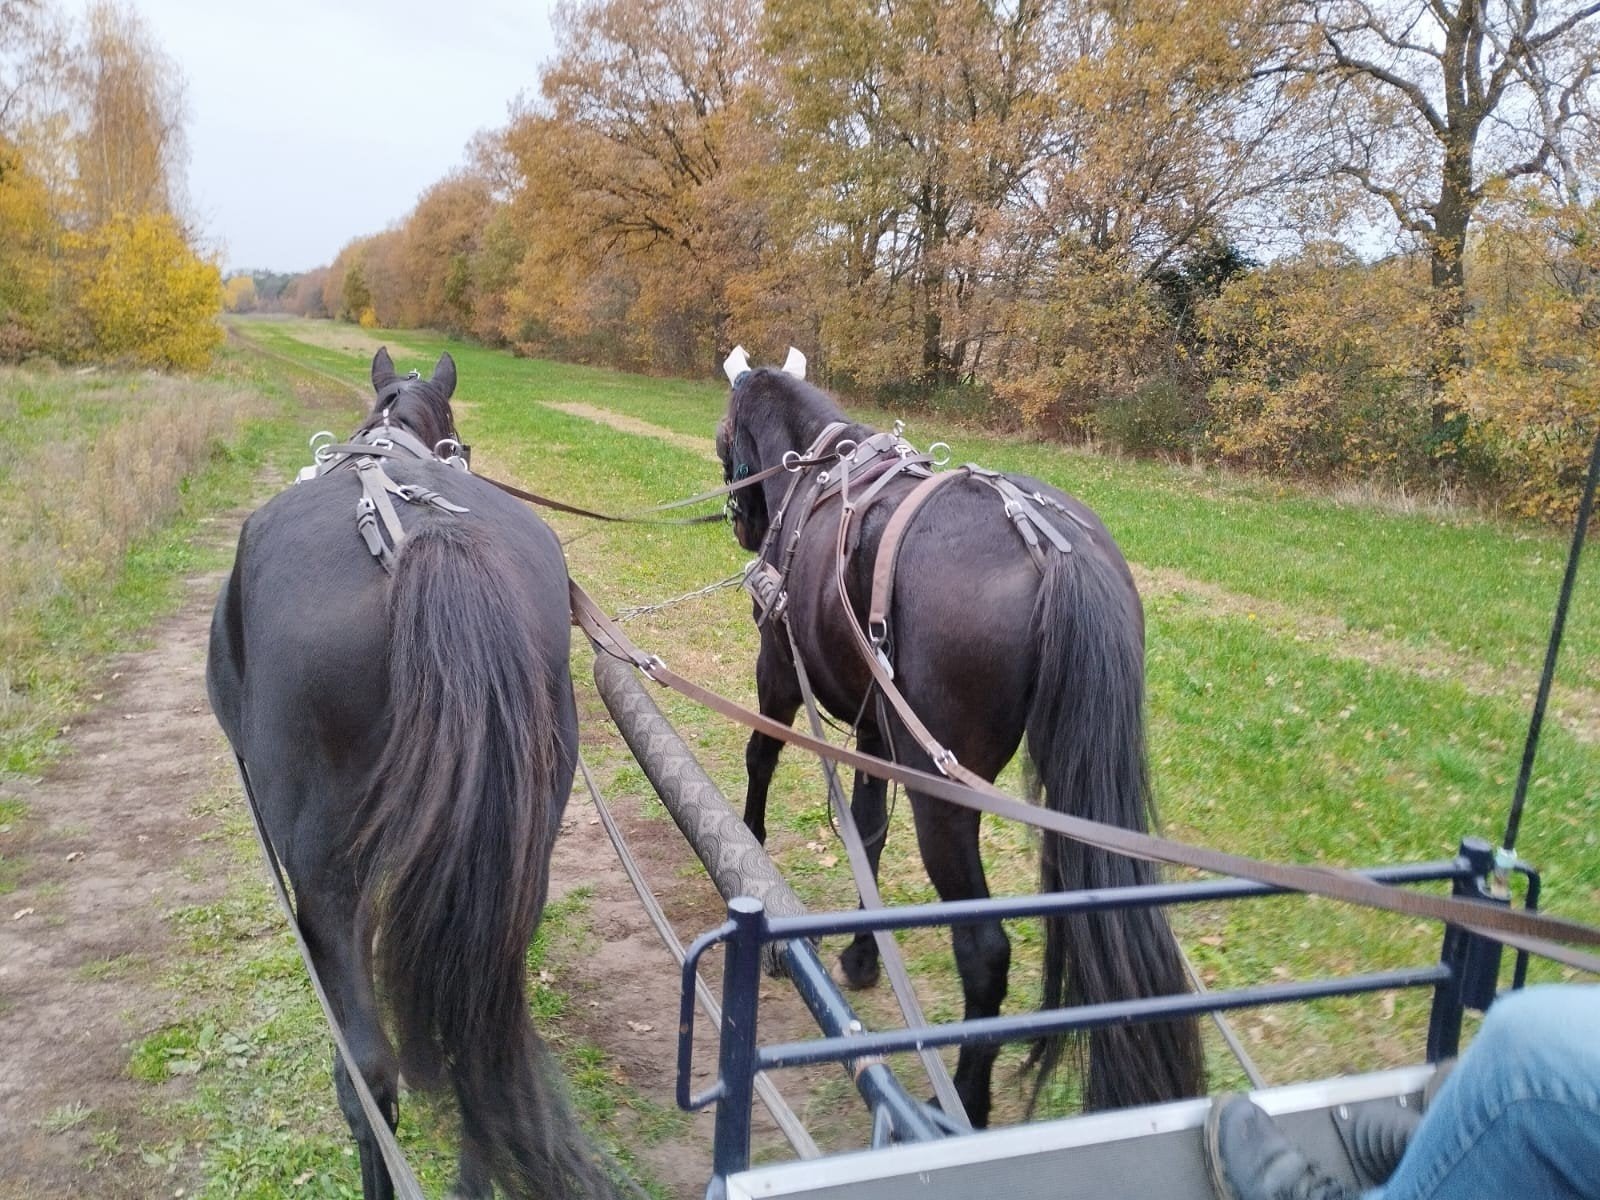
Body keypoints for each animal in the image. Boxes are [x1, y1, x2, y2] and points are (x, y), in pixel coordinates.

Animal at [715, 356, 1206, 1127]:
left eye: (721, 437)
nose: (742, 526)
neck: (813, 470)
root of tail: (1052, 553)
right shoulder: (873, 727)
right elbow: (868, 833)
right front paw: (862, 956)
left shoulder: (778, 671)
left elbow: (760, 758)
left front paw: (751, 844)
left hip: (943, 795)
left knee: (985, 952)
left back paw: (966, 1103)